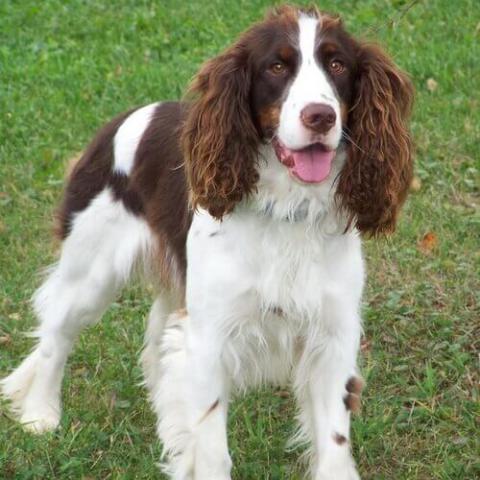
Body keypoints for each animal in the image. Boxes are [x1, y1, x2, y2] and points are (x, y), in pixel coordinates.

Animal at [0, 4, 412, 480]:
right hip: (91, 271)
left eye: (338, 65)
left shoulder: (333, 337)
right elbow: (213, 446)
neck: (288, 208)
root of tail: (122, 120)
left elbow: (333, 443)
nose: (320, 117)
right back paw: (40, 413)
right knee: (56, 333)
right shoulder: (211, 338)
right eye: (276, 67)